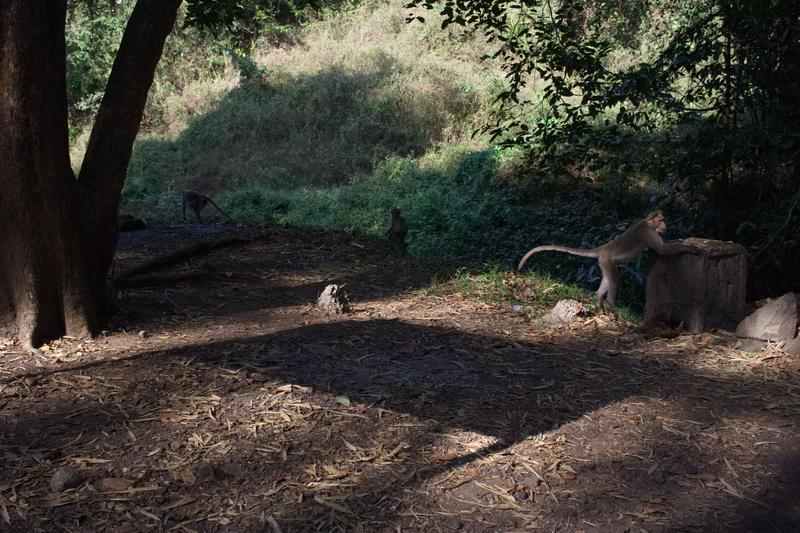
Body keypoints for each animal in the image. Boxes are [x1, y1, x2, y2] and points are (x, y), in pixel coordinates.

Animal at [520, 209, 692, 316]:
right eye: (661, 220)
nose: (665, 226)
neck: (648, 223)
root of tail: (603, 248)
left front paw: (681, 240)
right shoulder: (649, 234)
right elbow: (663, 250)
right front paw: (689, 248)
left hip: (603, 263)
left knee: (607, 280)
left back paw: (600, 303)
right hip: (607, 262)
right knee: (615, 278)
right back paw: (611, 308)